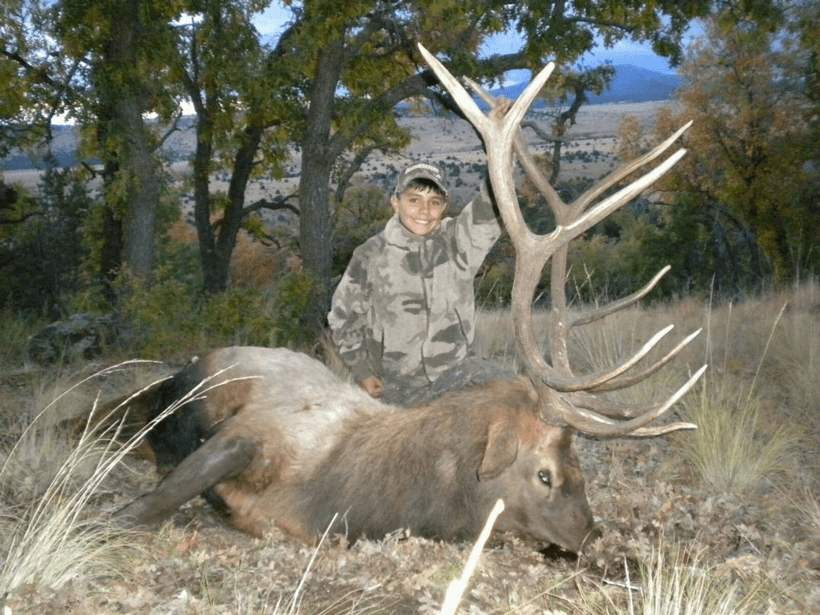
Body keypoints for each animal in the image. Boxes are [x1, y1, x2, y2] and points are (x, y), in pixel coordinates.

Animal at [103, 44, 706, 554]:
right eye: (545, 473)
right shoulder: (250, 432)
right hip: (178, 387)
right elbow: (142, 507)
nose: (592, 536)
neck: (343, 497)